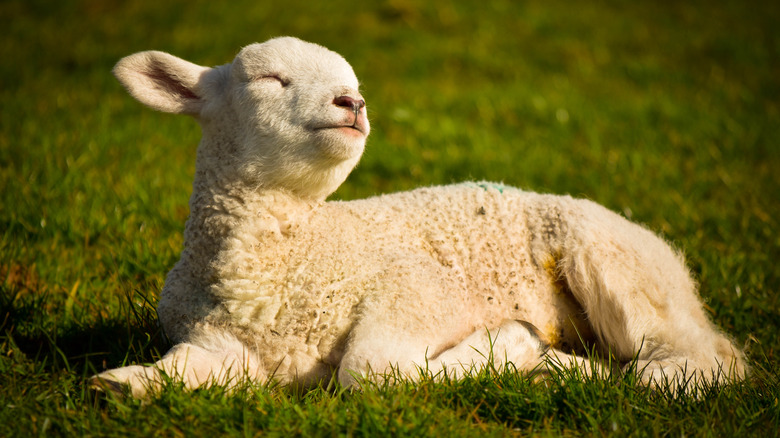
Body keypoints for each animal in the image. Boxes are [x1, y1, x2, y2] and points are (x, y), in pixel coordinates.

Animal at [90, 37, 744, 398]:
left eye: (353, 84)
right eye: (271, 79)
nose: (352, 103)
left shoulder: (419, 289)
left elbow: (369, 370)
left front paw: (510, 340)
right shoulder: (217, 342)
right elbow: (171, 373)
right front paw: (123, 384)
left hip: (615, 264)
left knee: (701, 358)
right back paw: (559, 370)